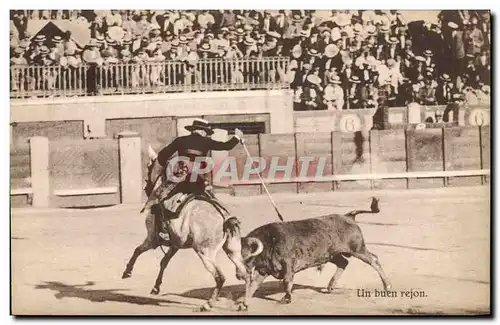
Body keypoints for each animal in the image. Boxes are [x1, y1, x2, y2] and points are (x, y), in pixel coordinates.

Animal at [119, 146, 252, 310]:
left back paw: (207, 305)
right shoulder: (175, 244)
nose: (146, 187)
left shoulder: (151, 239)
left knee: (220, 277)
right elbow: (164, 261)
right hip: (232, 250)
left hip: (204, 252)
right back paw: (244, 304)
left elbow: (137, 250)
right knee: (246, 273)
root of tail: (225, 219)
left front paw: (127, 272)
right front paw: (156, 287)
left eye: (149, 167)